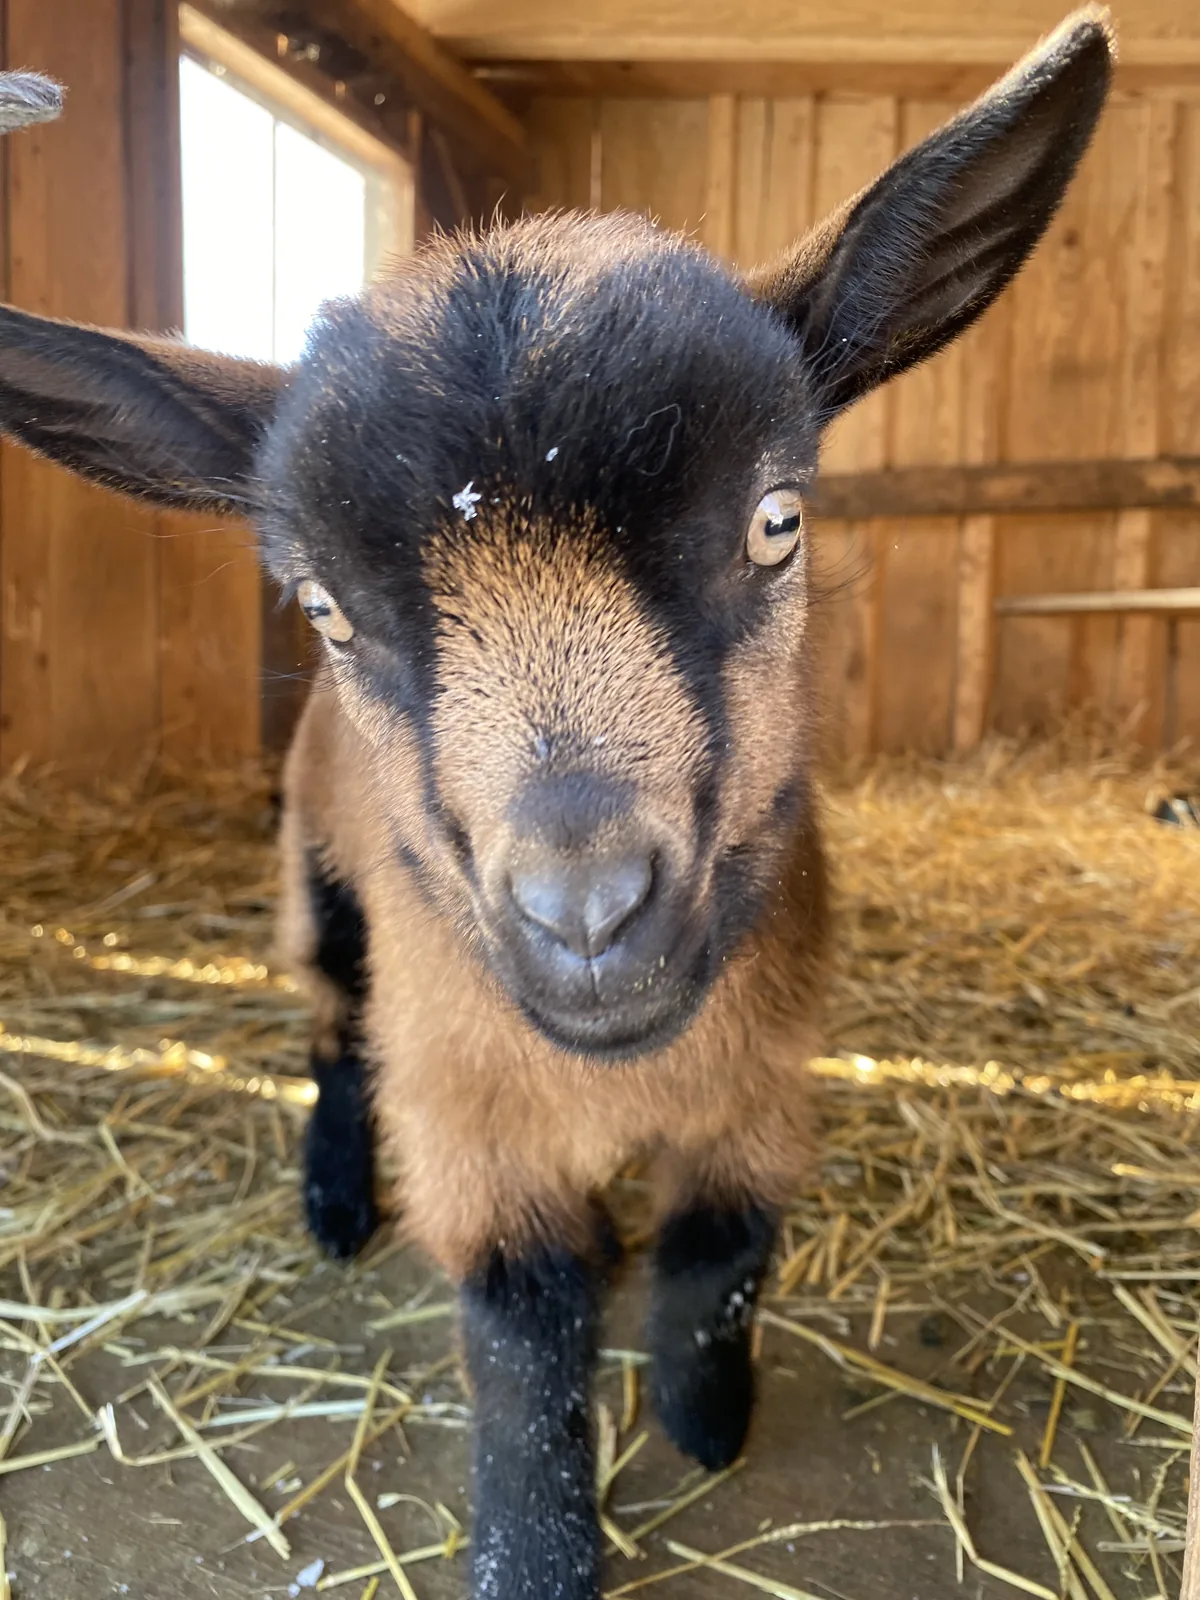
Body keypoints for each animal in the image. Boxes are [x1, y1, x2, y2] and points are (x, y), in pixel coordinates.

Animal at [0, 14, 1111, 1596]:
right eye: (324, 607)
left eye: (778, 519)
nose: (587, 914)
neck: (616, 1076)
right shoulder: (469, 1114)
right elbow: (522, 1346)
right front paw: (536, 1553)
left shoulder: (765, 1081)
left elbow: (719, 1258)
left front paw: (706, 1419)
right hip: (318, 884)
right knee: (330, 1025)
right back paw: (337, 1196)